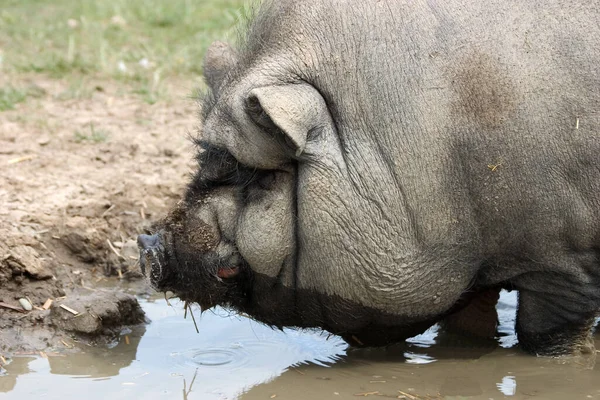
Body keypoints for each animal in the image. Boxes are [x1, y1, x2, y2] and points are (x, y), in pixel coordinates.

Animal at [137, 0, 600, 356]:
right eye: (207, 159)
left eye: (250, 174)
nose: (147, 241)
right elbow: (466, 329)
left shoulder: (566, 263)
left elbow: (543, 337)